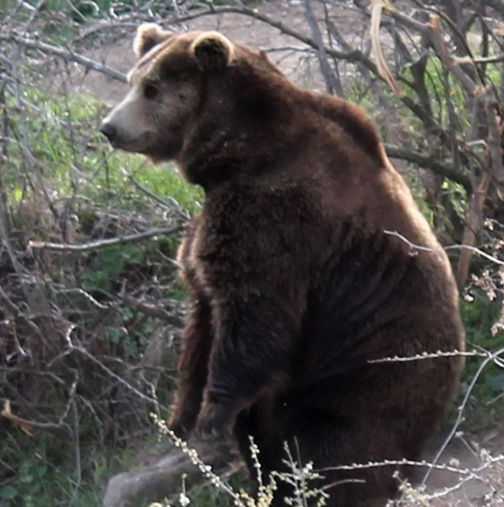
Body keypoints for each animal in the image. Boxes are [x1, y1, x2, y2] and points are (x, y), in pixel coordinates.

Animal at [100, 25, 466, 507]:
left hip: (364, 383)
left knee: (338, 455)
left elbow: (254, 317)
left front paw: (210, 420)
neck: (236, 153)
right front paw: (180, 418)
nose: (109, 127)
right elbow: (201, 320)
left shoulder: (275, 218)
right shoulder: (214, 232)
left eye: (152, 87)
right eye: (132, 79)